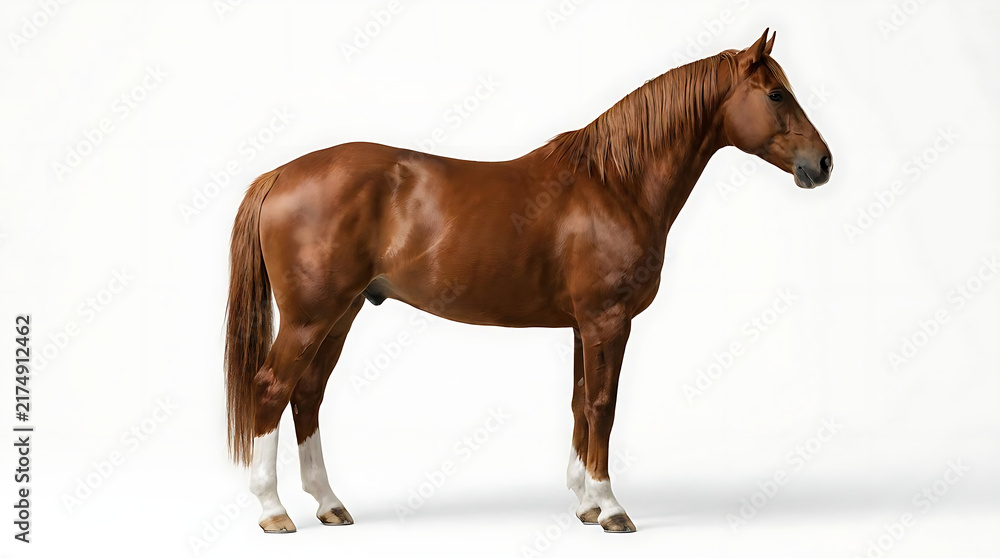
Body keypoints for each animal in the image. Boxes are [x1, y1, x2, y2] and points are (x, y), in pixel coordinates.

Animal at [225, 29, 832, 534]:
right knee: (271, 388)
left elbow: (579, 402)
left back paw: (330, 504)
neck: (615, 184)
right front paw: (612, 509)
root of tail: (279, 174)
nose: (823, 164)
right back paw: (274, 511)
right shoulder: (607, 320)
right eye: (776, 94)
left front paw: (585, 504)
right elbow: (603, 405)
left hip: (342, 313)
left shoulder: (582, 325)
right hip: (311, 316)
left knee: (307, 394)